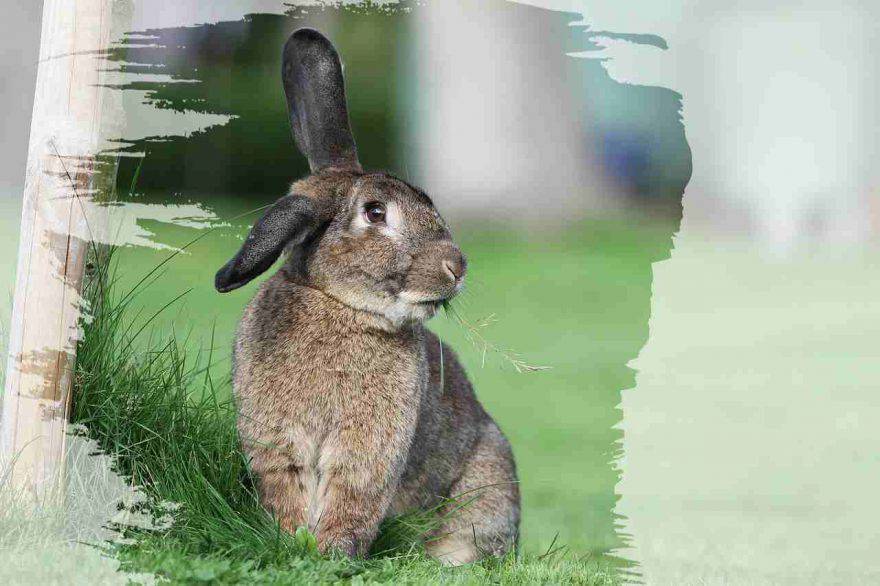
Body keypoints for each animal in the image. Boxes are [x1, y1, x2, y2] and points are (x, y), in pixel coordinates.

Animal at [214, 28, 520, 565]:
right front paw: (292, 543)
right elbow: (288, 491)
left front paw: (331, 555)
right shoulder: (277, 445)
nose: (456, 266)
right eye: (376, 213)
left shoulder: (367, 452)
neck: (338, 304)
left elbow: (353, 498)